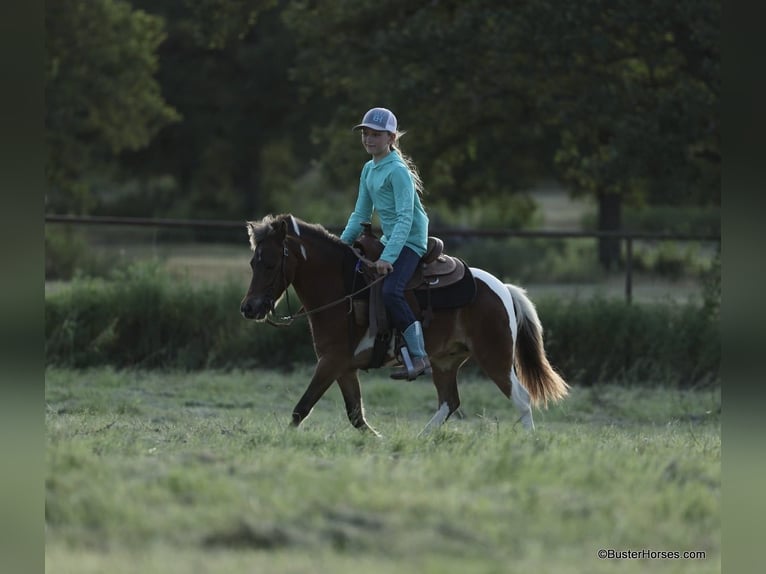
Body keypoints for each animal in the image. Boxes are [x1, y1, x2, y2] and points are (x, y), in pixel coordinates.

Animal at [240, 214, 569, 436]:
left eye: (270, 263)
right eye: (253, 262)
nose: (249, 308)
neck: (344, 289)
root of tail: (503, 289)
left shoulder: (331, 362)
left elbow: (302, 408)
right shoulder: (343, 366)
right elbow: (355, 415)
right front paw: (381, 443)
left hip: (495, 357)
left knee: (521, 400)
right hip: (445, 362)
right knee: (449, 402)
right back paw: (421, 440)